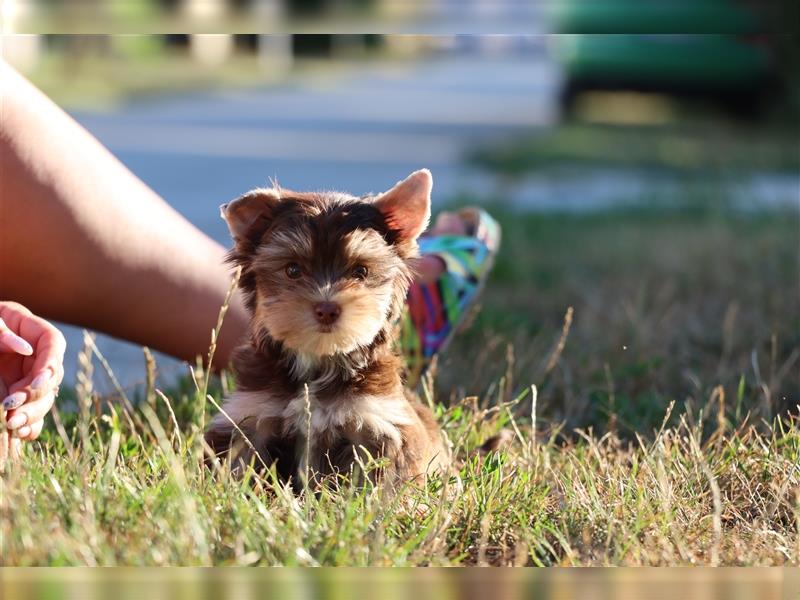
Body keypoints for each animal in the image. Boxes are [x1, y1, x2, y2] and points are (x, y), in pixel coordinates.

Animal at [205, 169, 450, 488]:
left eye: (360, 271)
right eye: (292, 270)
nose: (327, 308)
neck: (318, 361)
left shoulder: (376, 420)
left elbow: (382, 479)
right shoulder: (251, 414)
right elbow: (239, 462)